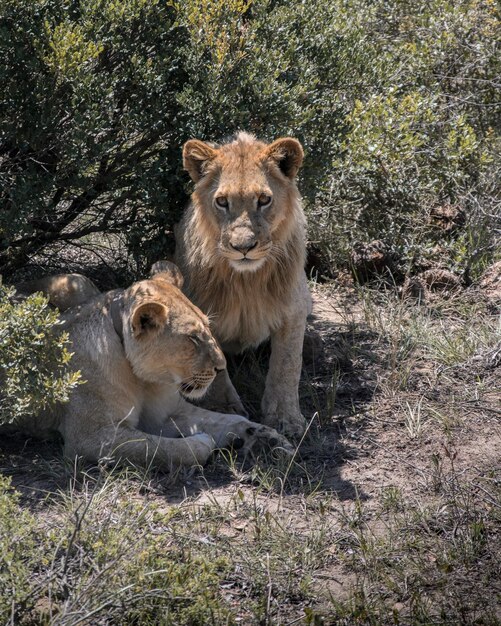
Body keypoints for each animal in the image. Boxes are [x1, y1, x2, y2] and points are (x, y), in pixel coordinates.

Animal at [175, 130, 308, 438]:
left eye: (264, 199)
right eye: (223, 201)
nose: (243, 247)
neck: (247, 280)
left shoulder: (295, 307)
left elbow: (288, 365)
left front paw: (285, 418)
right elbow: (212, 365)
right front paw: (223, 409)